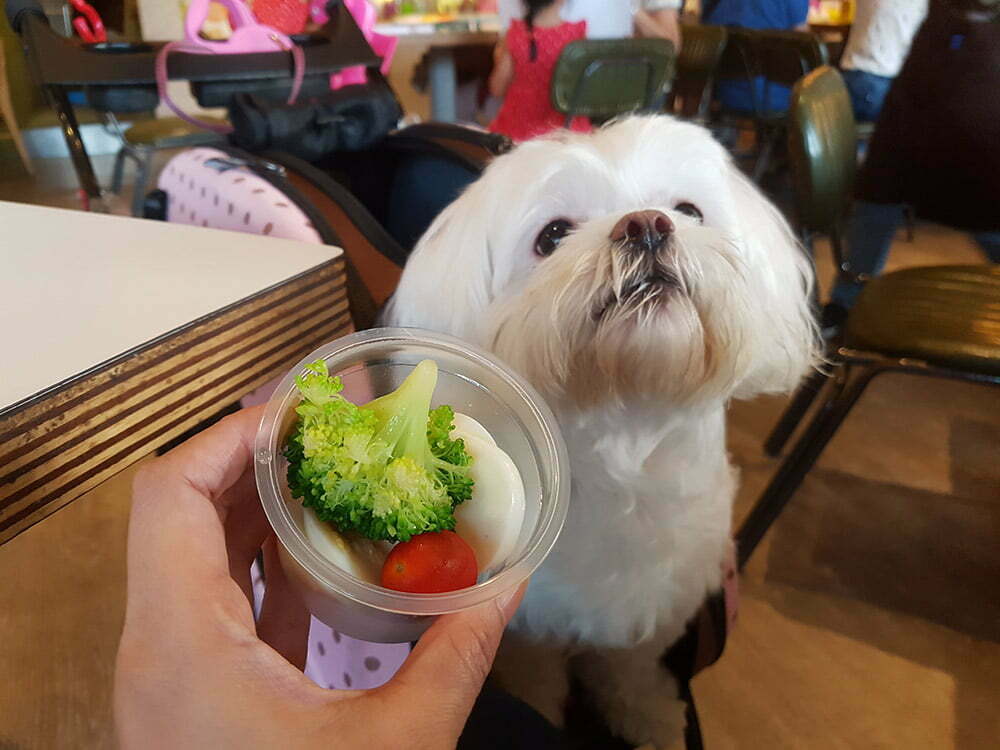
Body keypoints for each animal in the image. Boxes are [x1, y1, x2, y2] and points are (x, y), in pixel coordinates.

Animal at [383, 116, 820, 747]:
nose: (646, 225)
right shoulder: (533, 623)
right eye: (553, 236)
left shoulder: (655, 605)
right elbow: (538, 679)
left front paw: (653, 719)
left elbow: (632, 669)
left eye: (688, 210)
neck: (625, 419)